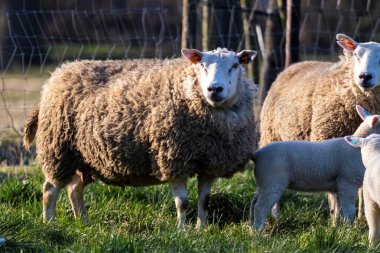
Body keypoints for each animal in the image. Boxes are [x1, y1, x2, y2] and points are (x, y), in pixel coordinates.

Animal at [23, 47, 258, 227]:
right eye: (201, 65)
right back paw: (49, 223)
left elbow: (205, 201)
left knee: (74, 189)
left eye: (235, 65)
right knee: (50, 189)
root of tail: (58, 73)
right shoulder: (172, 159)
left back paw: (84, 223)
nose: (214, 89)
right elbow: (182, 202)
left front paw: (202, 229)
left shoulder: (210, 164)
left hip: (84, 158)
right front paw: (182, 231)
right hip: (58, 150)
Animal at [260, 33, 380, 219]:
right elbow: (335, 194)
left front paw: (362, 216)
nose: (364, 76)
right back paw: (275, 215)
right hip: (271, 137)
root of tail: (297, 64)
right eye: (355, 55)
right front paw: (336, 218)